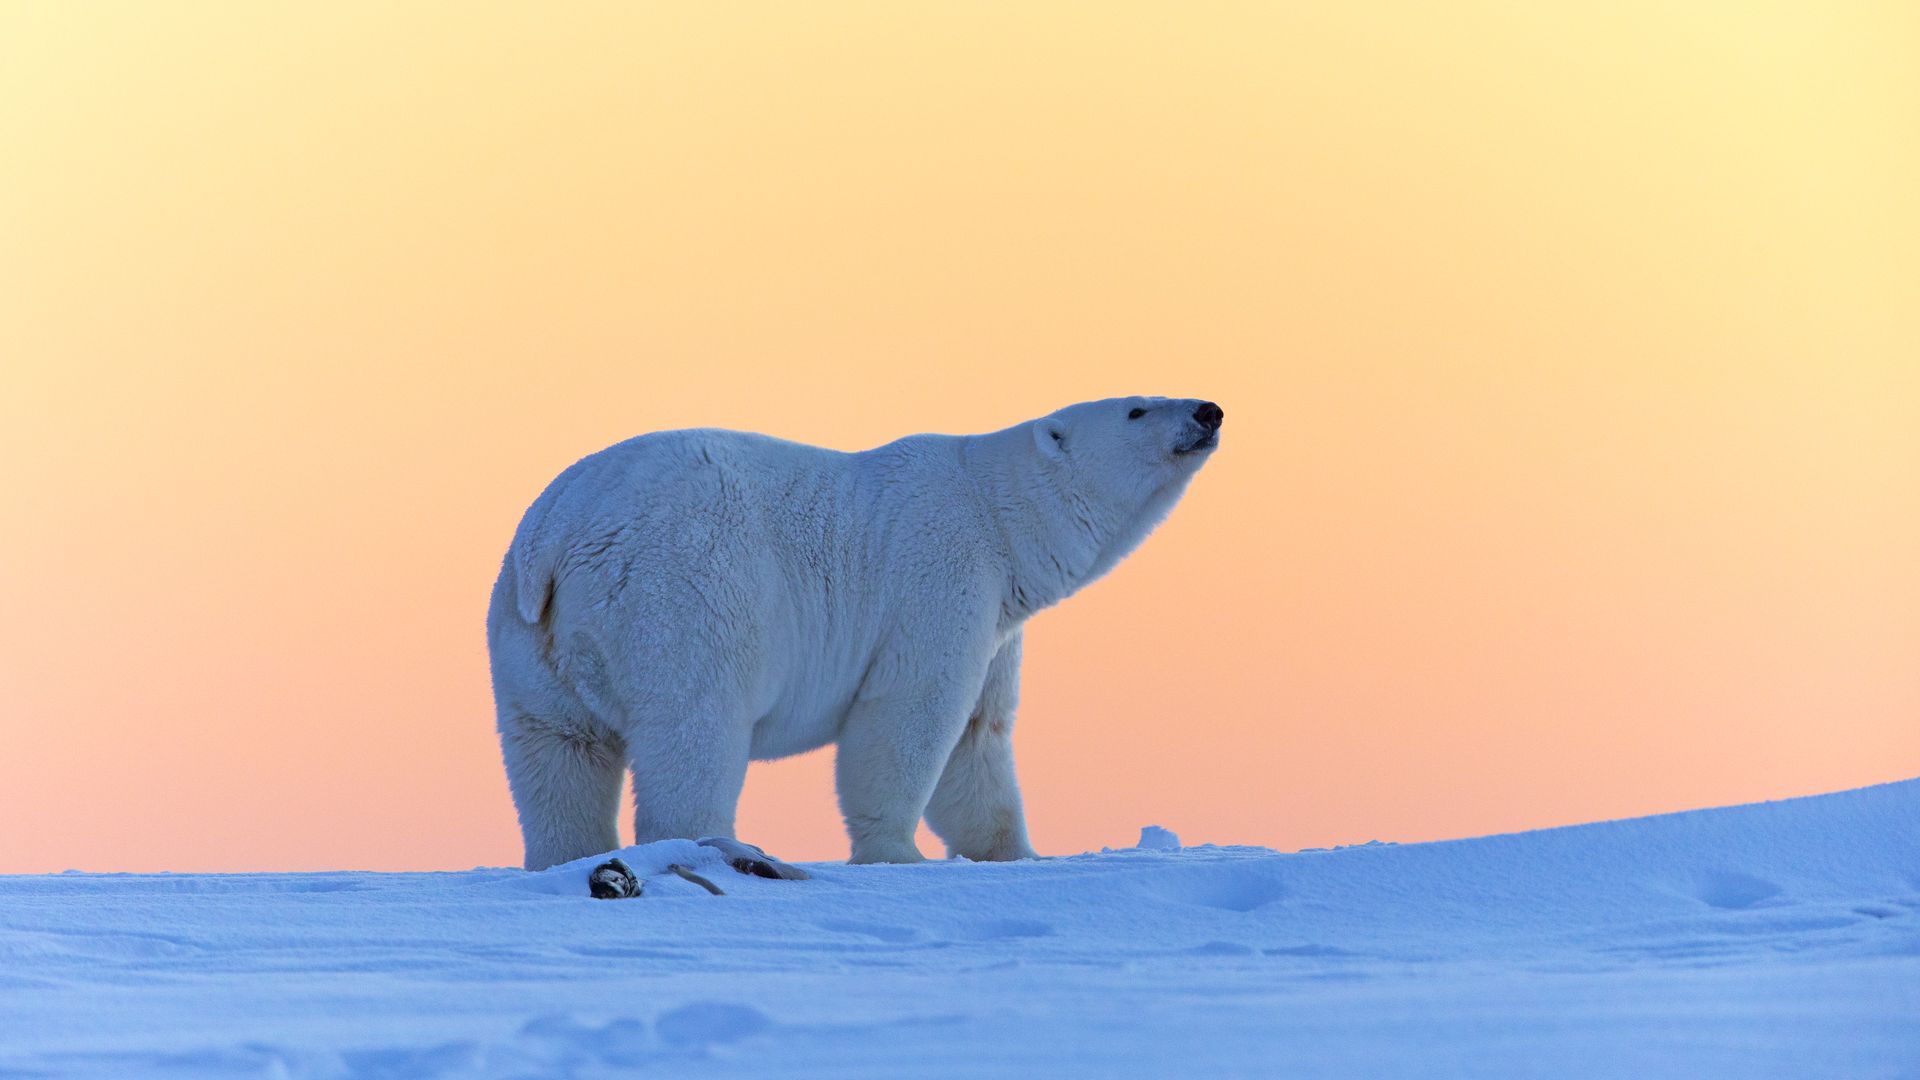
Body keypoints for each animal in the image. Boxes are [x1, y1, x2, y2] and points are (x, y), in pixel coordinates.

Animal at [487, 397, 1224, 870]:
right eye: (1136, 409)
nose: (1209, 410)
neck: (993, 510)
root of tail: (557, 534)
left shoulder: (997, 621)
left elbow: (979, 736)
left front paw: (1013, 853)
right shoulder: (939, 574)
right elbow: (910, 715)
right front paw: (899, 854)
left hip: (530, 639)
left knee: (558, 753)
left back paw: (567, 858)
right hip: (684, 591)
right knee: (694, 727)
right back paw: (718, 848)